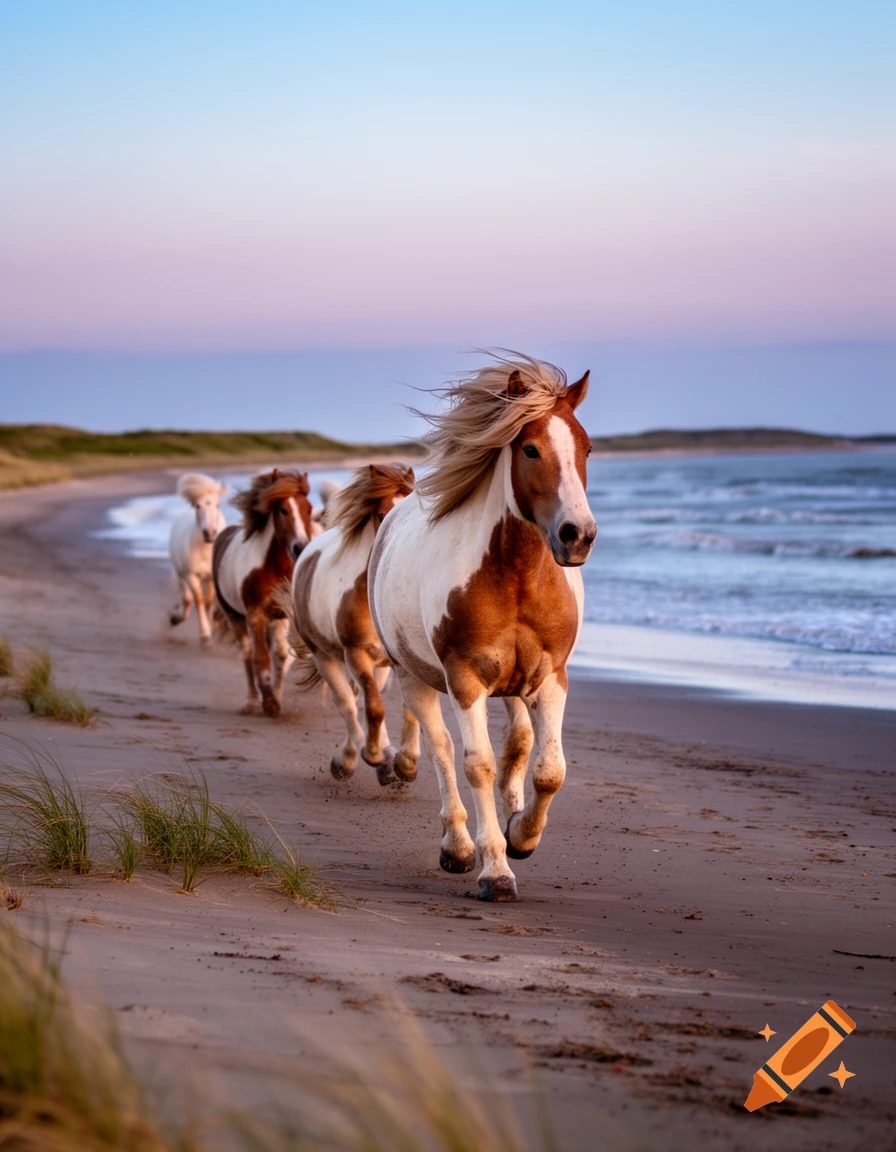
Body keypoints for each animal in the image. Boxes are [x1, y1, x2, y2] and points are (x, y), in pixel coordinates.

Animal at [168, 473, 228, 646]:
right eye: (198, 506)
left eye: (217, 505)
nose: (209, 533)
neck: (205, 550)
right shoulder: (191, 576)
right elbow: (198, 600)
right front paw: (205, 635)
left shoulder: (212, 577)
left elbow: (209, 601)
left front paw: (212, 626)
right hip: (181, 574)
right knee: (187, 599)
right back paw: (176, 619)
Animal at [212, 469, 314, 717]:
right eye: (283, 510)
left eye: (309, 508)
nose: (300, 547)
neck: (273, 567)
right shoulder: (255, 615)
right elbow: (261, 658)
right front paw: (268, 702)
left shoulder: (284, 614)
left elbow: (281, 656)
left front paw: (276, 698)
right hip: (234, 617)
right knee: (247, 654)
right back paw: (250, 702)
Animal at [291, 463, 417, 784]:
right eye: (383, 515)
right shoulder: (356, 654)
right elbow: (373, 709)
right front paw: (371, 756)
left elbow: (402, 709)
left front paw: (403, 764)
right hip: (325, 656)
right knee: (347, 703)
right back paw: (348, 761)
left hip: (380, 664)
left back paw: (385, 761)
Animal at [368, 355, 596, 901]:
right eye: (530, 448)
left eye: (586, 448)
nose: (577, 536)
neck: (514, 578)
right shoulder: (466, 679)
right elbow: (477, 763)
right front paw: (495, 869)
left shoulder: (550, 678)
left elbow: (549, 770)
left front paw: (521, 835)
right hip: (415, 677)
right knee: (443, 751)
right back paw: (457, 846)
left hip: (514, 684)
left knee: (518, 741)